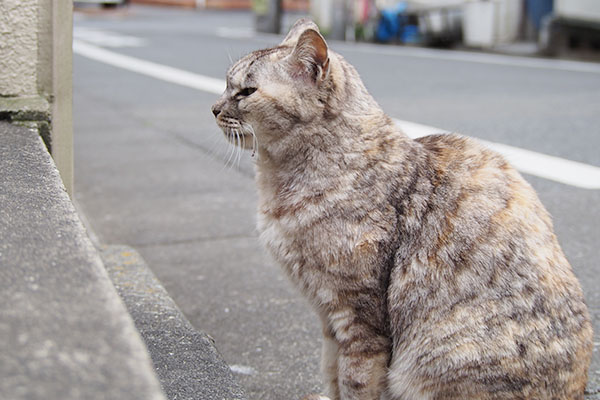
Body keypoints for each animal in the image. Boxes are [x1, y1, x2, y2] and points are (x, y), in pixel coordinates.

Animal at [210, 18, 592, 400]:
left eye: (246, 92)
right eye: (227, 85)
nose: (214, 108)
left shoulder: (359, 320)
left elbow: (354, 382)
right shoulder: (328, 318)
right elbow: (331, 373)